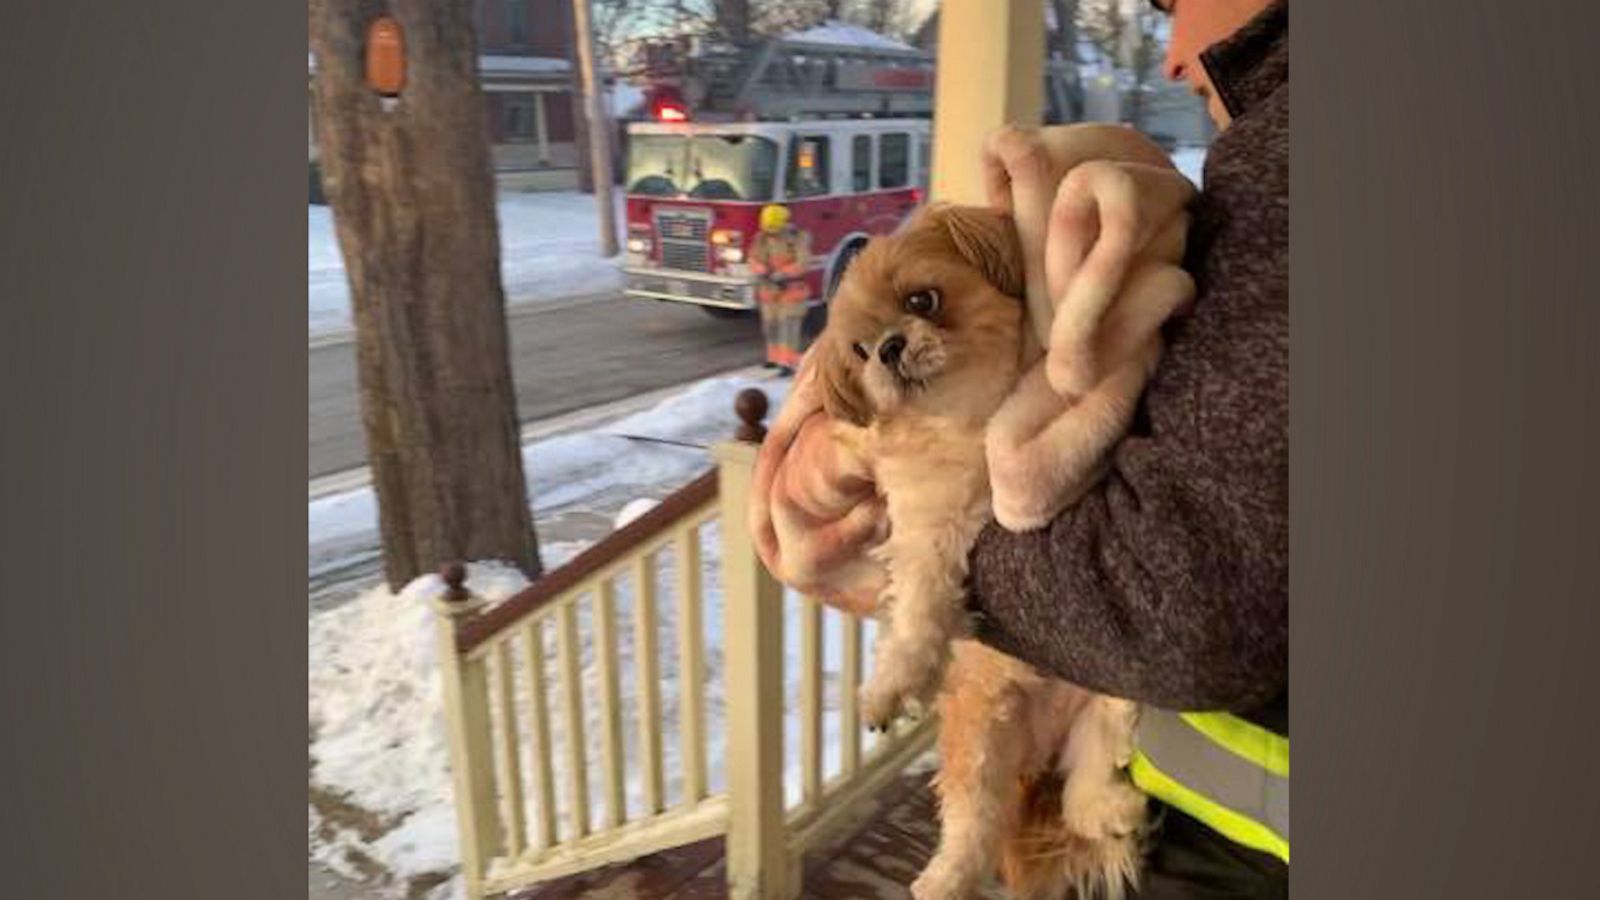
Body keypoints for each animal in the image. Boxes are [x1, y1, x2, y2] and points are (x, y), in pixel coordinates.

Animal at [812, 128, 1203, 896]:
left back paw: (1112, 809)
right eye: (858, 351)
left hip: (1115, 699)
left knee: (1092, 777)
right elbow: (919, 599)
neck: (973, 425)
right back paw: (943, 880)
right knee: (974, 829)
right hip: (982, 738)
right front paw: (894, 678)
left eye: (924, 298)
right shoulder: (926, 524)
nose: (888, 349)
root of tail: (1042, 742)